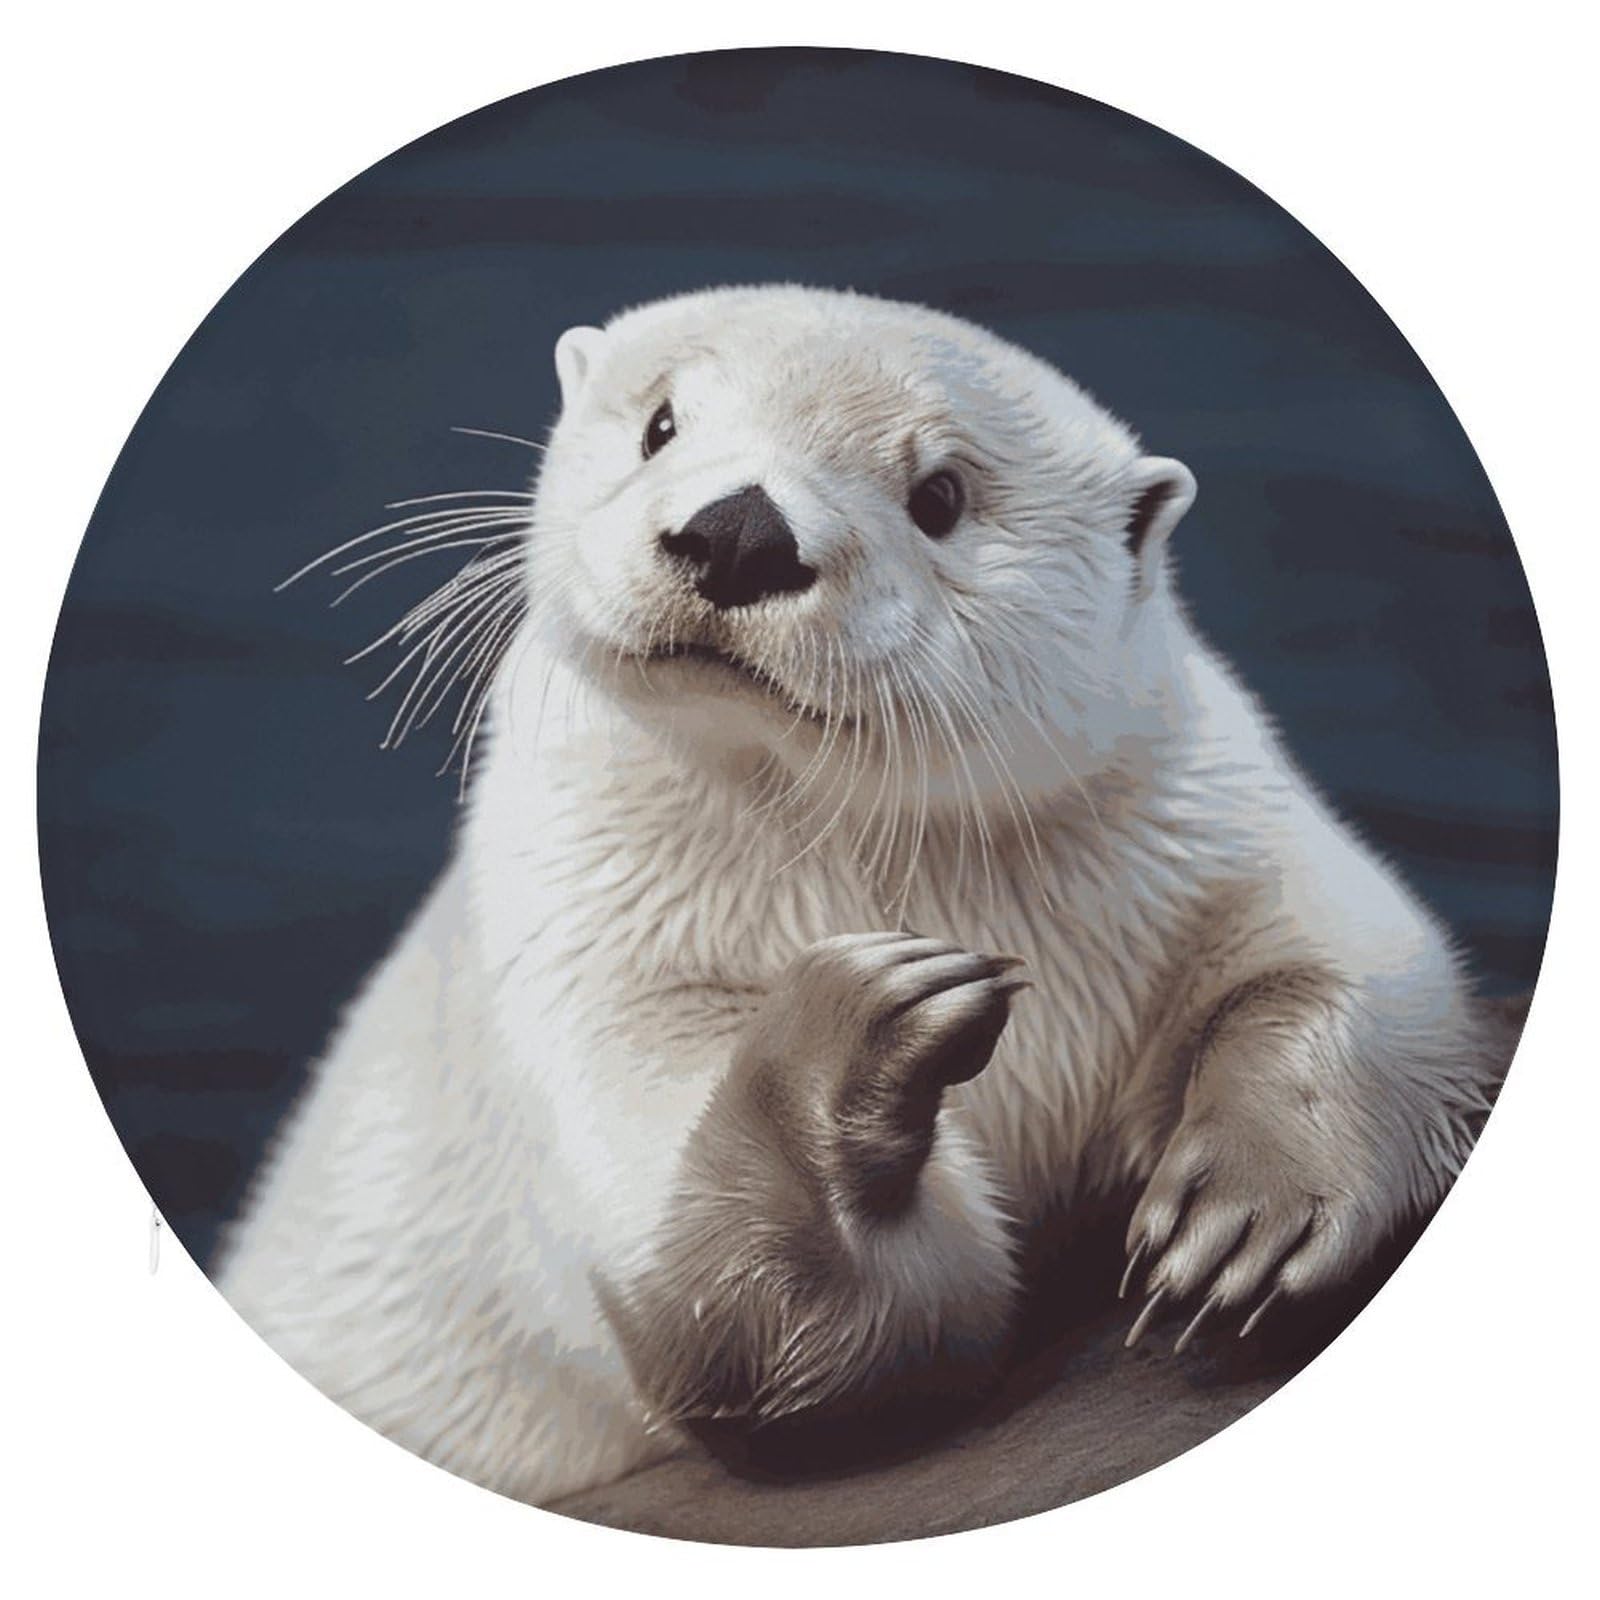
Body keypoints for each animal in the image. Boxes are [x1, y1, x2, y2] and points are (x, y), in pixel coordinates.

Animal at [221, 285, 1505, 1505]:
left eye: (938, 494)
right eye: (660, 423)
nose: (738, 525)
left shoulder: (1207, 815)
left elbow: (1354, 967)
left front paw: (1250, 1212)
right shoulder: (587, 964)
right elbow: (803, 1322)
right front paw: (860, 1028)